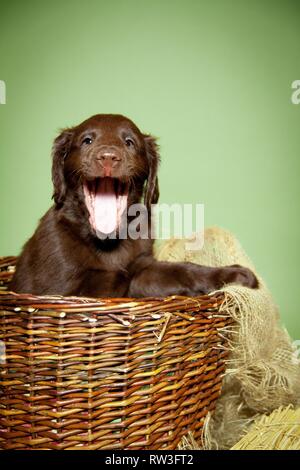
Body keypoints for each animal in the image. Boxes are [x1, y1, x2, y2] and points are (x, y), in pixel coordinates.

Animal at [9, 114, 258, 298]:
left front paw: (234, 275)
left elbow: (182, 269)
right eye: (87, 140)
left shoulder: (141, 268)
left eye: (129, 142)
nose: (108, 157)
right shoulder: (61, 289)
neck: (107, 242)